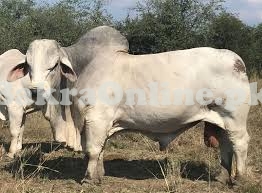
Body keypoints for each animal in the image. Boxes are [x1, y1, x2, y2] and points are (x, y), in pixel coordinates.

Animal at [7, 26, 250, 186]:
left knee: (240, 143)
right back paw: (221, 177)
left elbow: (92, 150)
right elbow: (98, 150)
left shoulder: (97, 118)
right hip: (219, 119)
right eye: (28, 65)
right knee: (225, 145)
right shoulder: (95, 122)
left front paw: (88, 179)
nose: (35, 91)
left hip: (234, 118)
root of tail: (237, 61)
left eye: (54, 65)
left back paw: (238, 179)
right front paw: (98, 176)